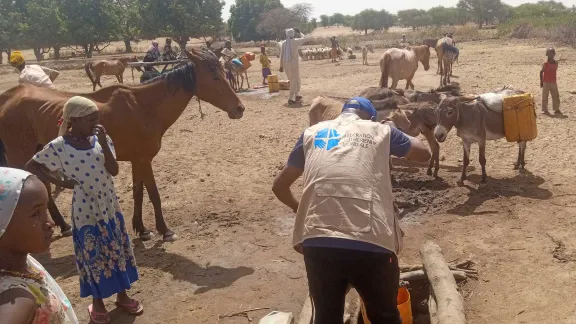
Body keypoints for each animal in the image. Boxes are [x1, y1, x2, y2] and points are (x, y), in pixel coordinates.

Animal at [0, 49, 245, 242]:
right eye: (214, 77)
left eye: (223, 73)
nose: (239, 108)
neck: (144, 107)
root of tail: (10, 96)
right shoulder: (144, 160)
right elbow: (153, 194)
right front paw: (164, 230)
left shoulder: (138, 160)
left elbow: (138, 192)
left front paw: (142, 229)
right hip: (20, 154)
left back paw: (64, 225)